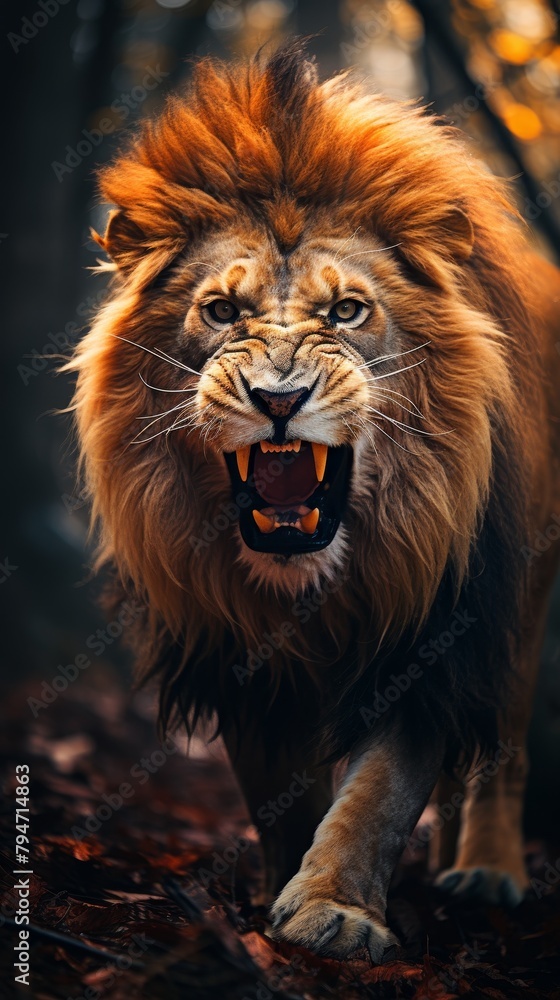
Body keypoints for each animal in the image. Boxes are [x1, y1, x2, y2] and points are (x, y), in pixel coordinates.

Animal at [67, 42, 560, 961]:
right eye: (222, 310)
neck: (311, 583)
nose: (279, 398)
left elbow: (380, 792)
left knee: (502, 747)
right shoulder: (235, 644)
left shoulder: (433, 624)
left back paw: (486, 872)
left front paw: (334, 909)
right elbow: (278, 793)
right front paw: (278, 892)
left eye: (348, 311)